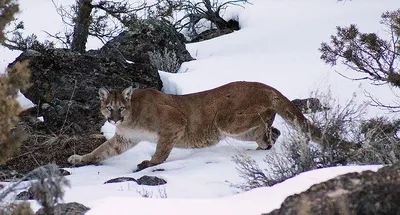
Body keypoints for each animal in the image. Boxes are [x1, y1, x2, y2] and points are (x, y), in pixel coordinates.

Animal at [67, 82, 320, 171]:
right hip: (239, 131)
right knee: (272, 133)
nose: (114, 119)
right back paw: (263, 146)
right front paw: (80, 159)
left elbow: (161, 150)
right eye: (109, 108)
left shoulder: (174, 122)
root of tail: (265, 85)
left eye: (121, 107)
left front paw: (149, 163)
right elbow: (102, 150)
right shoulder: (125, 138)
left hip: (226, 121)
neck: (131, 116)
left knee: (268, 123)